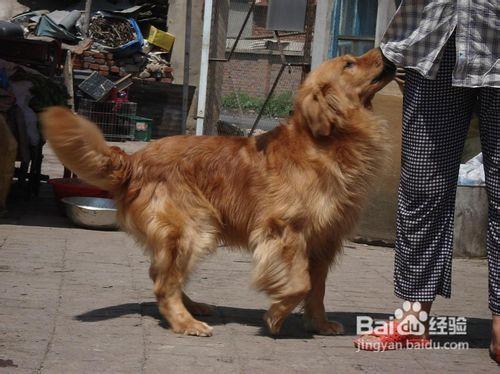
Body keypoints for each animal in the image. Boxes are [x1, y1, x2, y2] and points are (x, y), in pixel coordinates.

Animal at [42, 48, 394, 338]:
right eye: (349, 64)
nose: (385, 52)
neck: (328, 142)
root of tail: (135, 159)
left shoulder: (324, 241)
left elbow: (316, 288)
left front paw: (318, 323)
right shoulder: (285, 231)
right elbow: (299, 284)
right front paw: (276, 315)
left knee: (160, 273)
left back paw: (193, 307)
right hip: (194, 228)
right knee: (163, 283)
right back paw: (186, 322)